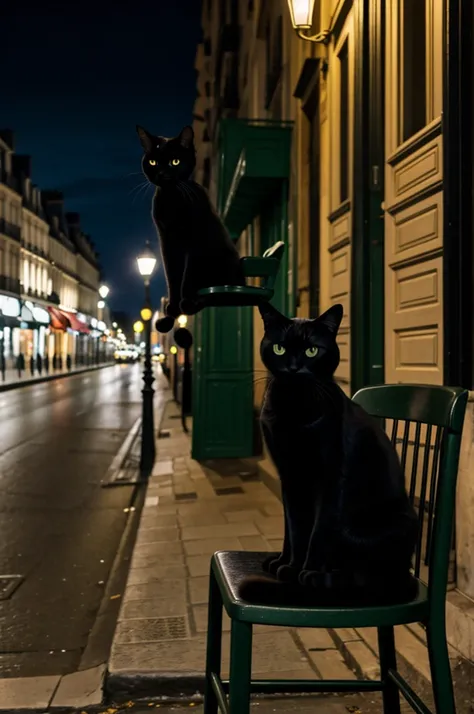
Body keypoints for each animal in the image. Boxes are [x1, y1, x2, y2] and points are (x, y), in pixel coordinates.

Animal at [134, 124, 243, 332]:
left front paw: (184, 301)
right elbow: (172, 276)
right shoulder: (167, 242)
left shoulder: (194, 243)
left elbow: (187, 275)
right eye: (153, 162)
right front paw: (173, 305)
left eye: (175, 161)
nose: (162, 174)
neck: (172, 199)